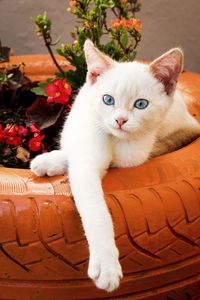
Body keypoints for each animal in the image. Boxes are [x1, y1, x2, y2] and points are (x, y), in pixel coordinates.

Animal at [30, 39, 200, 290]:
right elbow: (94, 207)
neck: (115, 141)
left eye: (141, 104)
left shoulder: (132, 157)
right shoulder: (88, 150)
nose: (120, 120)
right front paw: (107, 266)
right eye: (108, 100)